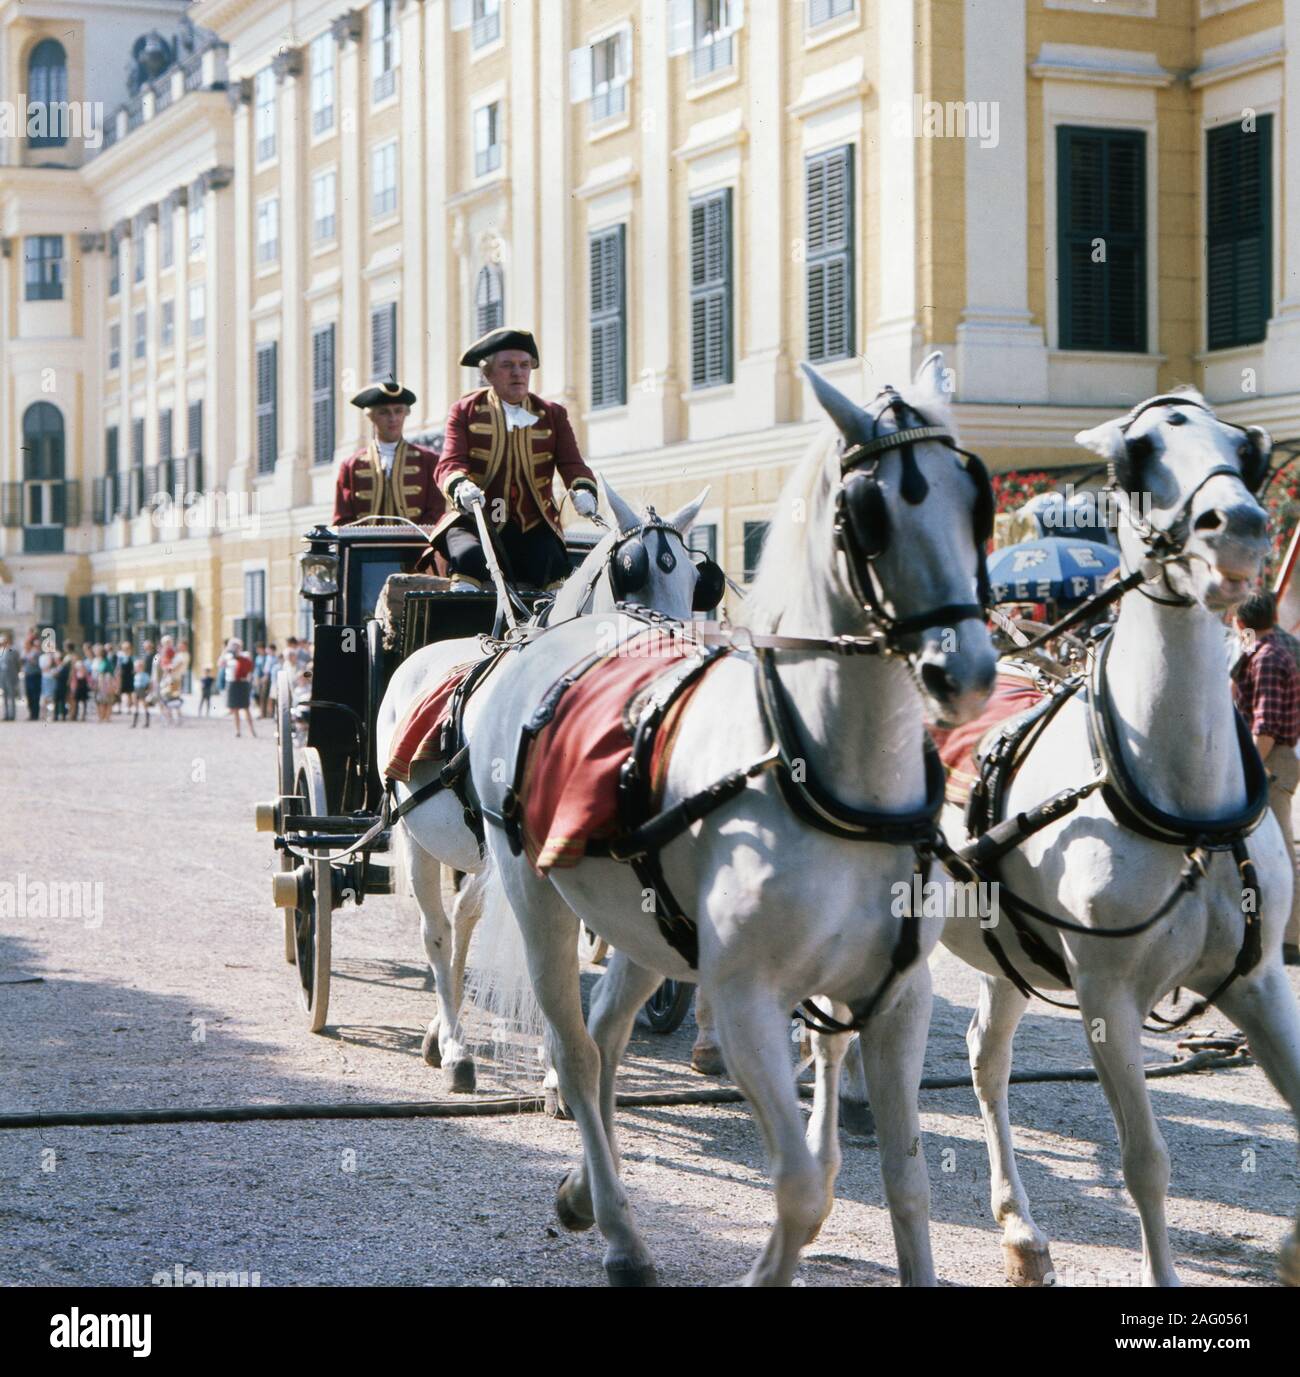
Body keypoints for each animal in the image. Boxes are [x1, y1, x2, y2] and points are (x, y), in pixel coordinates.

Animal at [374, 479, 710, 1090]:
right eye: (630, 570)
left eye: (699, 581)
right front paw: (554, 1066)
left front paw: (556, 1068)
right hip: (418, 839)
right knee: (438, 932)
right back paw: (454, 1045)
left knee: (465, 919)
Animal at [465, 352, 997, 1277]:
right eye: (870, 512)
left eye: (976, 498)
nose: (960, 669)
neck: (820, 772)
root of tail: (534, 648)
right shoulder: (748, 999)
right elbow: (802, 1188)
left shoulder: (900, 998)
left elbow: (907, 1182)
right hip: (538, 899)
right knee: (573, 1047)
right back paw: (621, 1230)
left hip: (638, 920)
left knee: (606, 1034)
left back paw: (586, 1190)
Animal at [936, 391, 1300, 1288]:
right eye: (1134, 458)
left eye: (1245, 451)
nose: (1240, 525)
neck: (1182, 799)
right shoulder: (1107, 999)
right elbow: (1145, 1162)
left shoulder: (1259, 981)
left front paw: (1289, 1246)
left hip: (1004, 950)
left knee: (985, 1056)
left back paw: (1020, 1230)